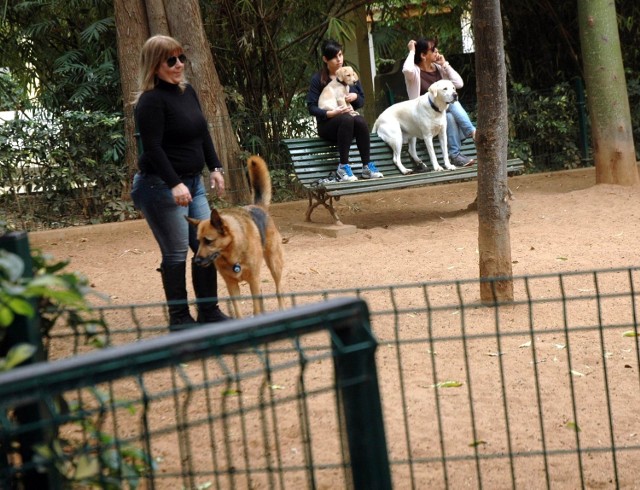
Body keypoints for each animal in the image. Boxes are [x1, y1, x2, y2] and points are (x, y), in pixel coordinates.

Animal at [186, 156, 284, 318]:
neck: (232, 254)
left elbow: (256, 308)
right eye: (198, 241)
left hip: (274, 265)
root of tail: (258, 207)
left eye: (208, 241)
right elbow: (238, 312)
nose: (197, 261)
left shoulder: (253, 280)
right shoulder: (232, 286)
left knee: (279, 291)